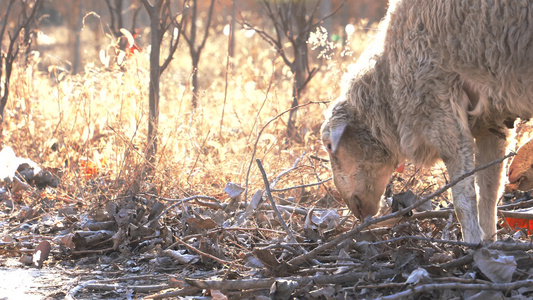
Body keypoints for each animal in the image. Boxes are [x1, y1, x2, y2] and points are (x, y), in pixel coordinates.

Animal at [320, 0, 532, 244]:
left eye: (329, 146)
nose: (354, 211)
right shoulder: (493, 122)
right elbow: (489, 190)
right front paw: (488, 242)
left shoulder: (438, 110)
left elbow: (463, 198)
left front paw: (472, 244)